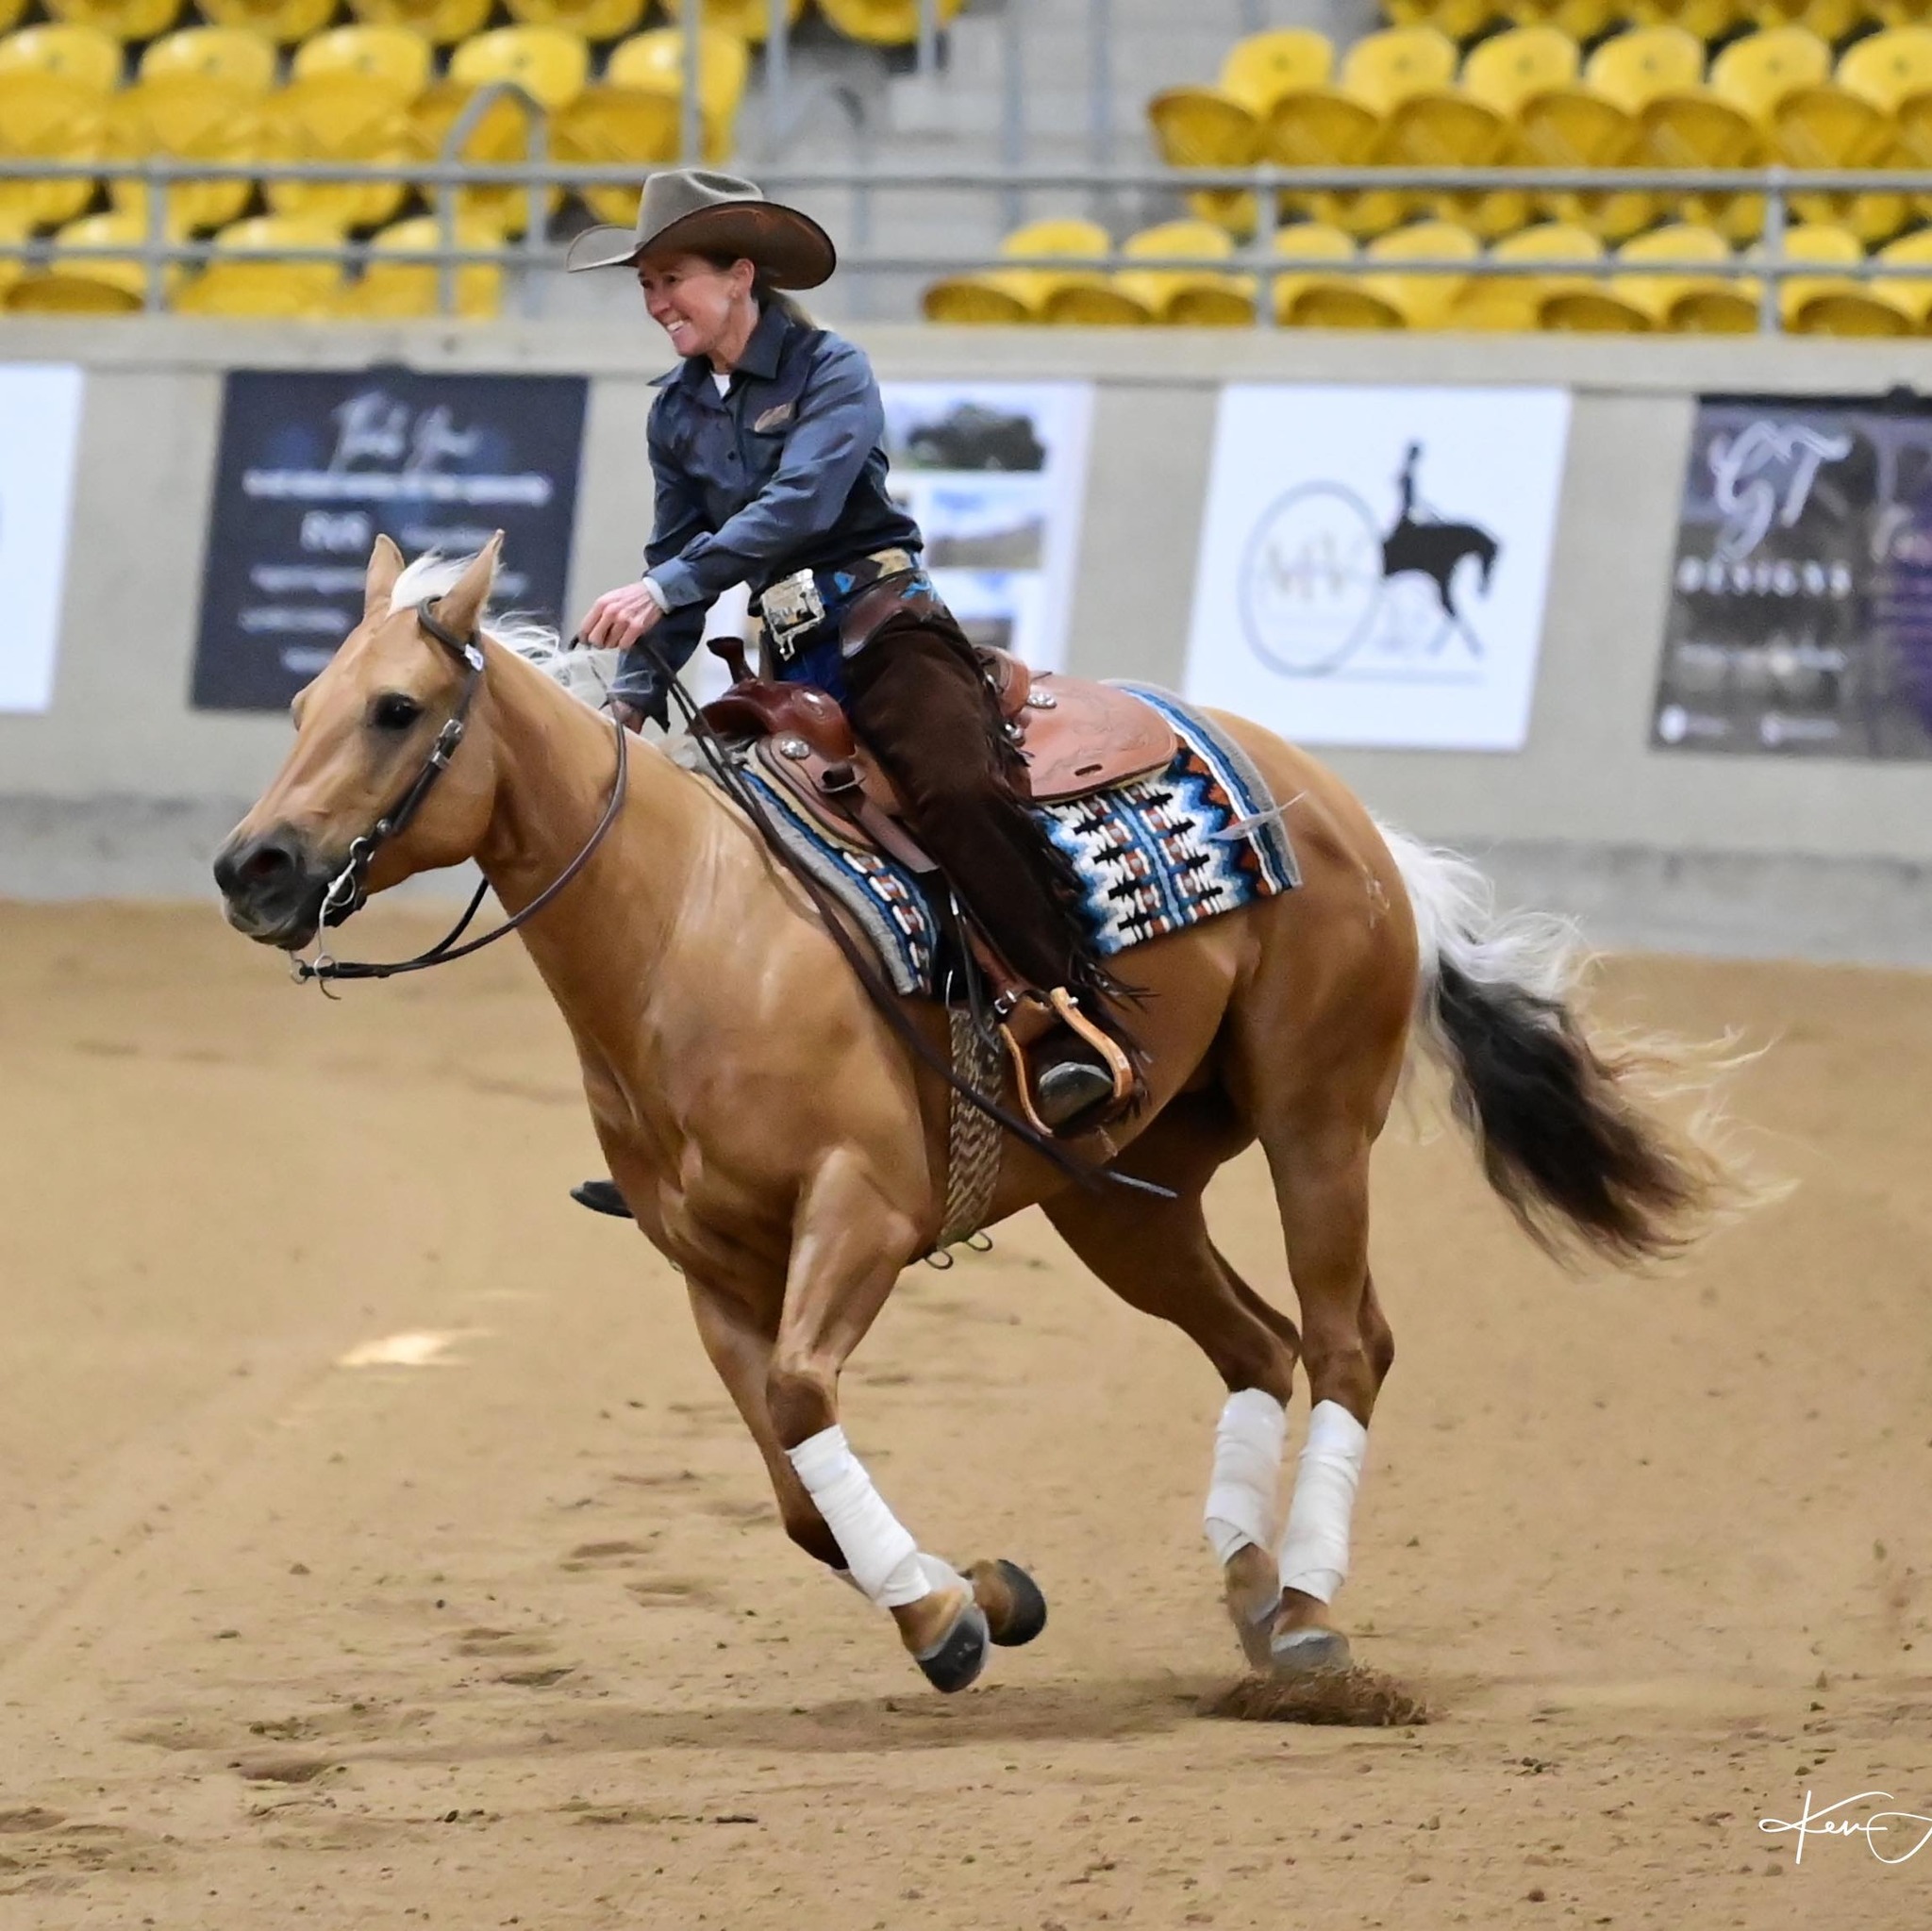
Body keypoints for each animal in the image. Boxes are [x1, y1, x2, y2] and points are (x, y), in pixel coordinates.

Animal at [213, 534, 1736, 1694]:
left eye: (395, 708)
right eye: (298, 705)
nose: (252, 867)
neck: (690, 926)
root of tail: (1345, 818)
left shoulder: (864, 1209)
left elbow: (805, 1396)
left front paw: (946, 1615)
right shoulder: (710, 1268)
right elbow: (792, 1489)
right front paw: (987, 1589)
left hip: (1315, 1124)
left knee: (1347, 1340)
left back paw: (1305, 1611)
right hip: (1118, 1193)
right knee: (1256, 1339)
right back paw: (1250, 1588)